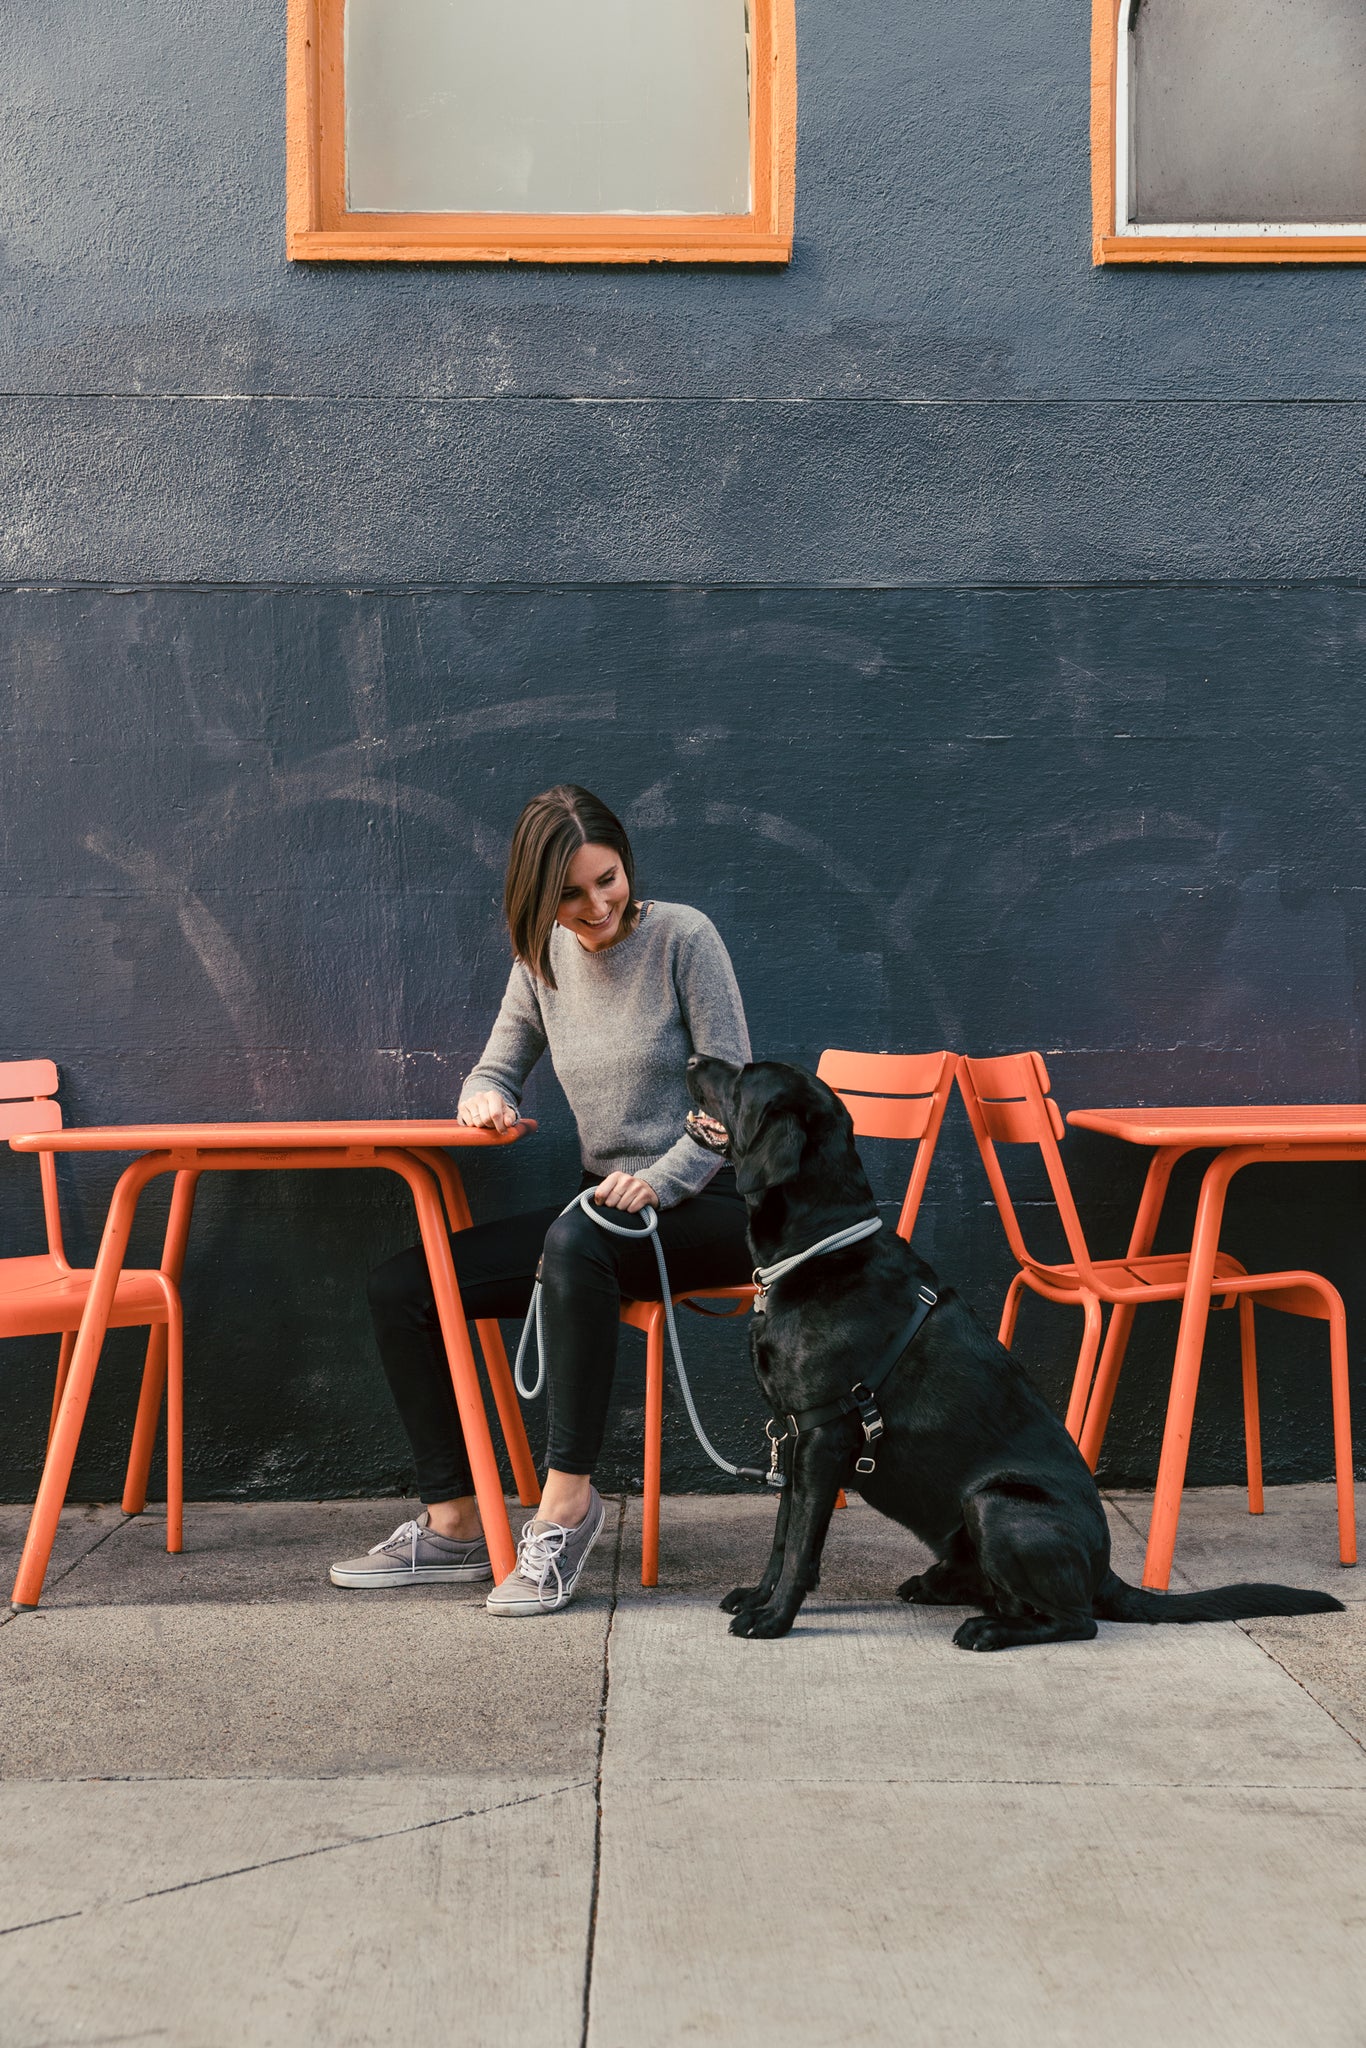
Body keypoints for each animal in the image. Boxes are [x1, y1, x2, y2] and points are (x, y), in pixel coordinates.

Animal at [684, 1056, 1343, 1646]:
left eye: (743, 1077)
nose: (691, 1058)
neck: (820, 1247)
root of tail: (1106, 1571)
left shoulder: (824, 1436)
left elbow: (800, 1544)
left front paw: (774, 1620)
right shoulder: (795, 1435)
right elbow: (782, 1535)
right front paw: (759, 1596)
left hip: (995, 1503)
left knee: (1076, 1621)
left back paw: (988, 1630)